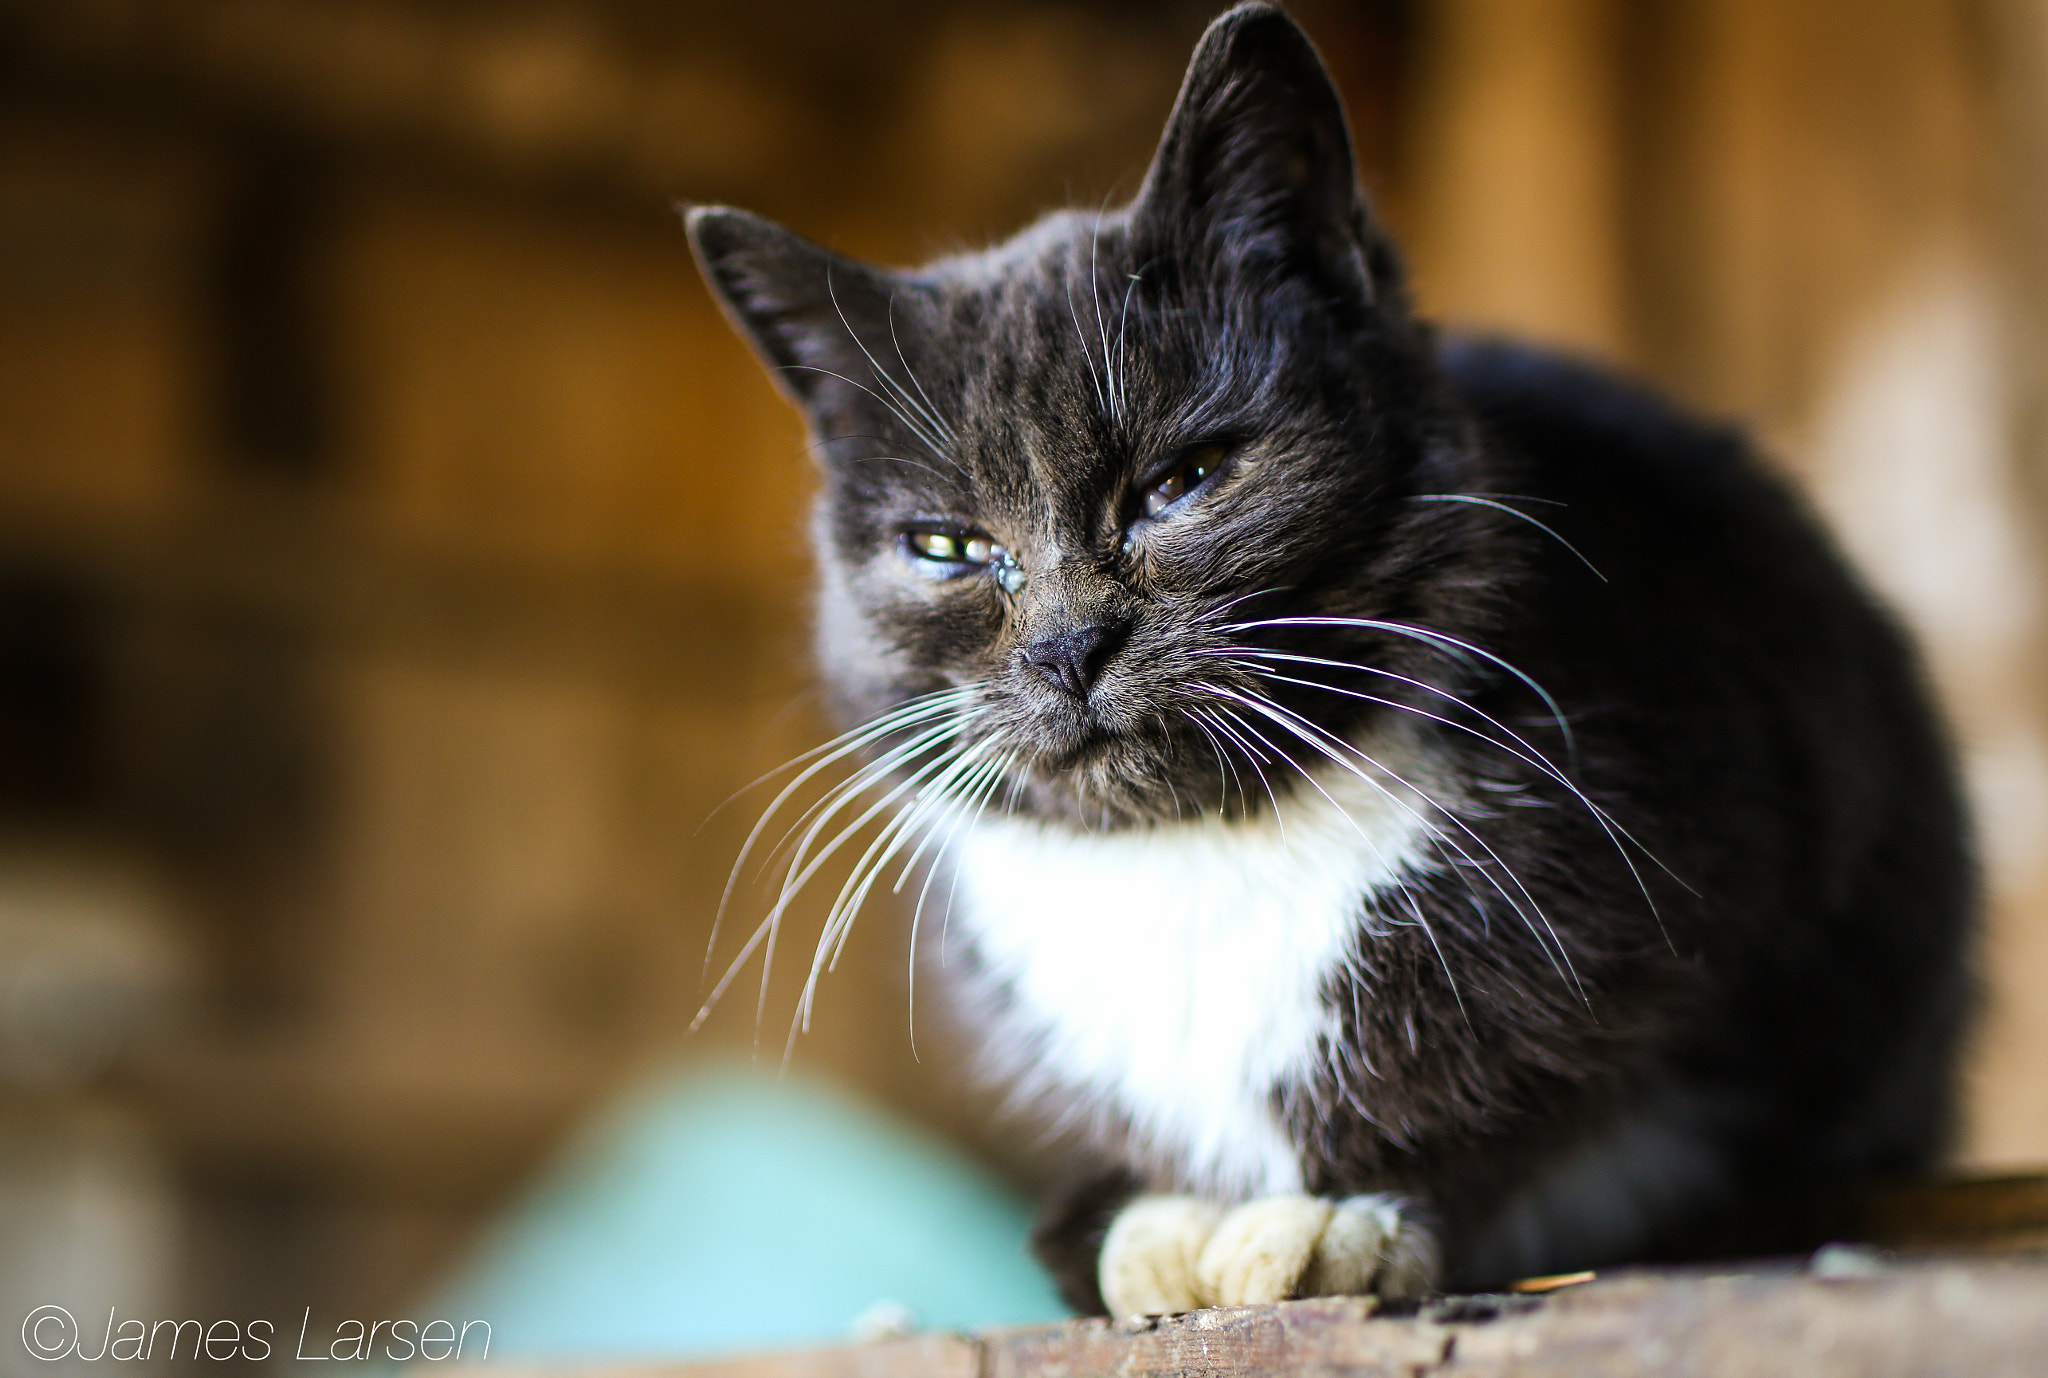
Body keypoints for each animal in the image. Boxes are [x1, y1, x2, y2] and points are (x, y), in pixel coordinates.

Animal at [684, 0, 1966, 1310]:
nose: (1065, 646)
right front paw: (1154, 1220)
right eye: (945, 546)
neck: (1201, 860)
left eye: (1183, 480)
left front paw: (1336, 1213)